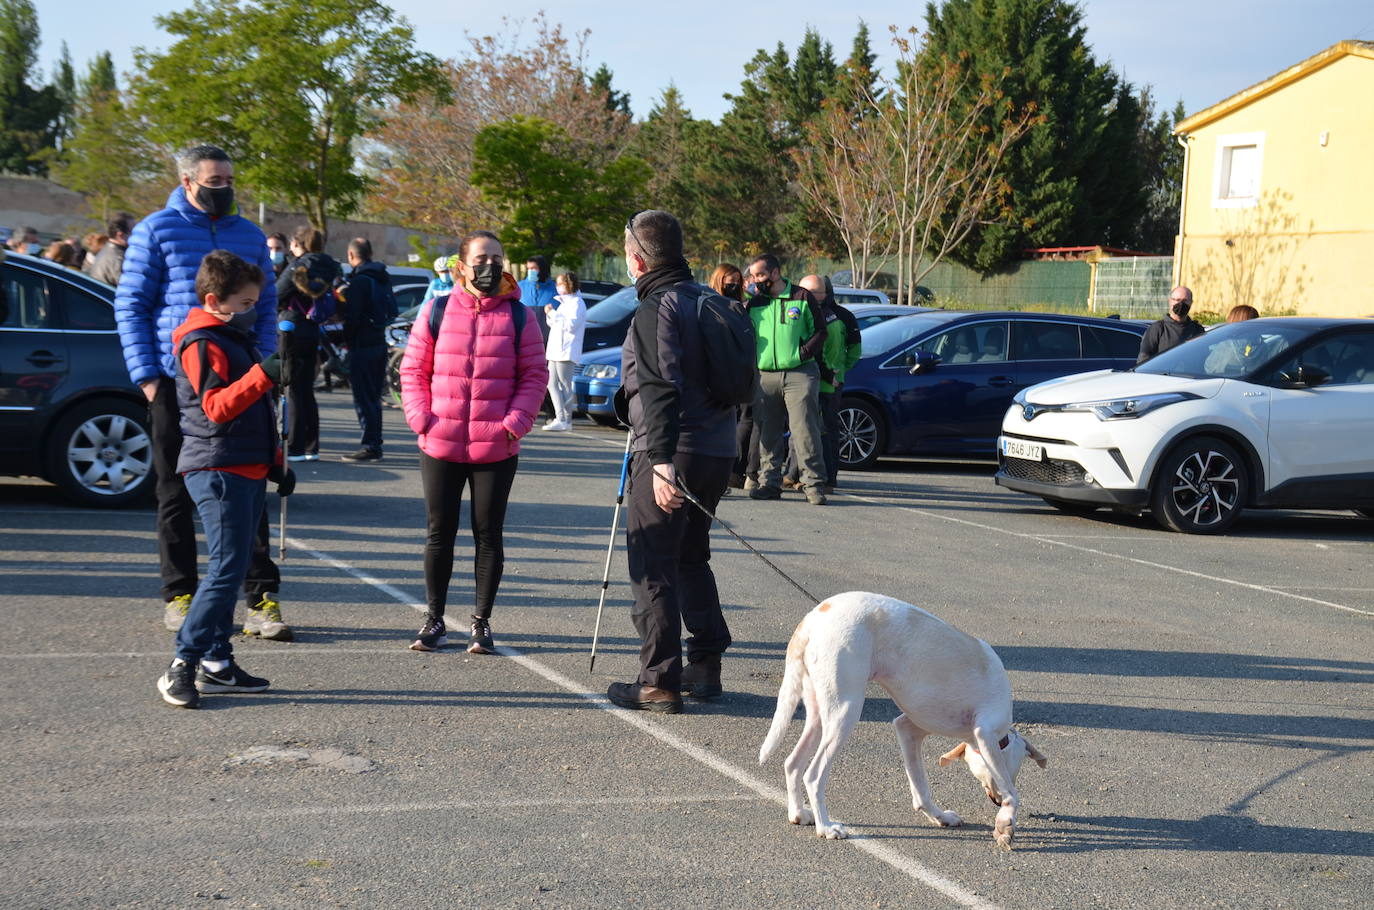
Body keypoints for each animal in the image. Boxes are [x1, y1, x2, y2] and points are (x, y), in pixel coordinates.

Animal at [758, 591, 1044, 846]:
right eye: (1016, 769)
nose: (995, 801)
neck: (999, 739)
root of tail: (814, 617)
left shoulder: (908, 729)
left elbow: (921, 786)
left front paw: (939, 816)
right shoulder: (986, 732)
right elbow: (1013, 793)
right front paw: (1006, 823)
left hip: (819, 714)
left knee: (793, 763)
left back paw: (798, 813)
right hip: (845, 712)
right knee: (814, 775)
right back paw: (826, 827)